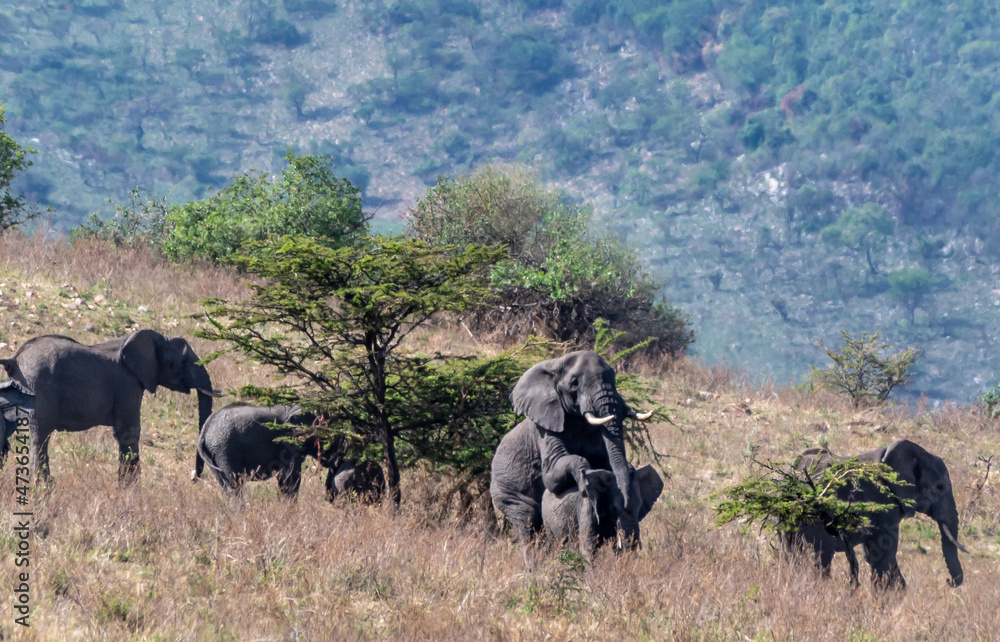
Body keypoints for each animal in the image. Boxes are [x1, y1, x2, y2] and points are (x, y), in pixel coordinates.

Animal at [0, 330, 215, 482]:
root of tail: (14, 359)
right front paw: (130, 490)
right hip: (38, 388)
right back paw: (44, 490)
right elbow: (129, 432)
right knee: (40, 437)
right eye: (184, 362)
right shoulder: (127, 383)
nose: (194, 477)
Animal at [195, 403, 333, 496]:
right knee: (234, 485)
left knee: (227, 487)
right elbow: (289, 479)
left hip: (214, 453)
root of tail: (204, 431)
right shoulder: (288, 442)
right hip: (224, 449)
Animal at [490, 350, 654, 545]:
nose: (627, 505)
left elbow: (605, 461)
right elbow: (550, 476)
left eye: (614, 378)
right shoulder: (545, 428)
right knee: (527, 520)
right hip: (505, 491)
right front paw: (585, 482)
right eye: (574, 383)